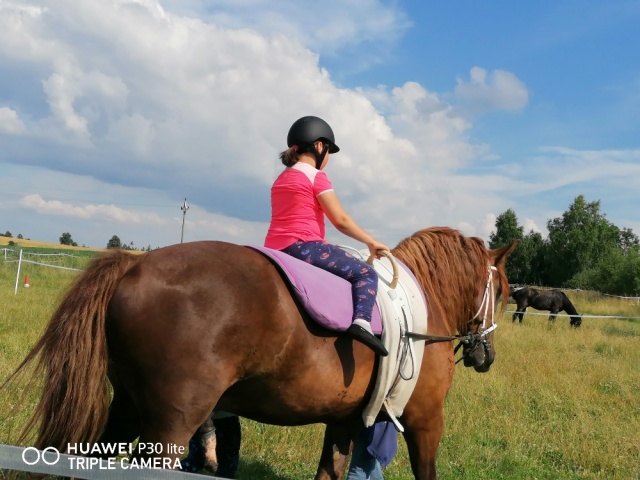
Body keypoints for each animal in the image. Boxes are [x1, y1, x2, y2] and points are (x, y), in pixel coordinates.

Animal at [7, 227, 516, 480]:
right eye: (504, 292)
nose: (486, 355)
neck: (418, 309)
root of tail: (136, 265)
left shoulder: (343, 422)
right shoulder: (425, 422)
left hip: (128, 408)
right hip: (169, 426)